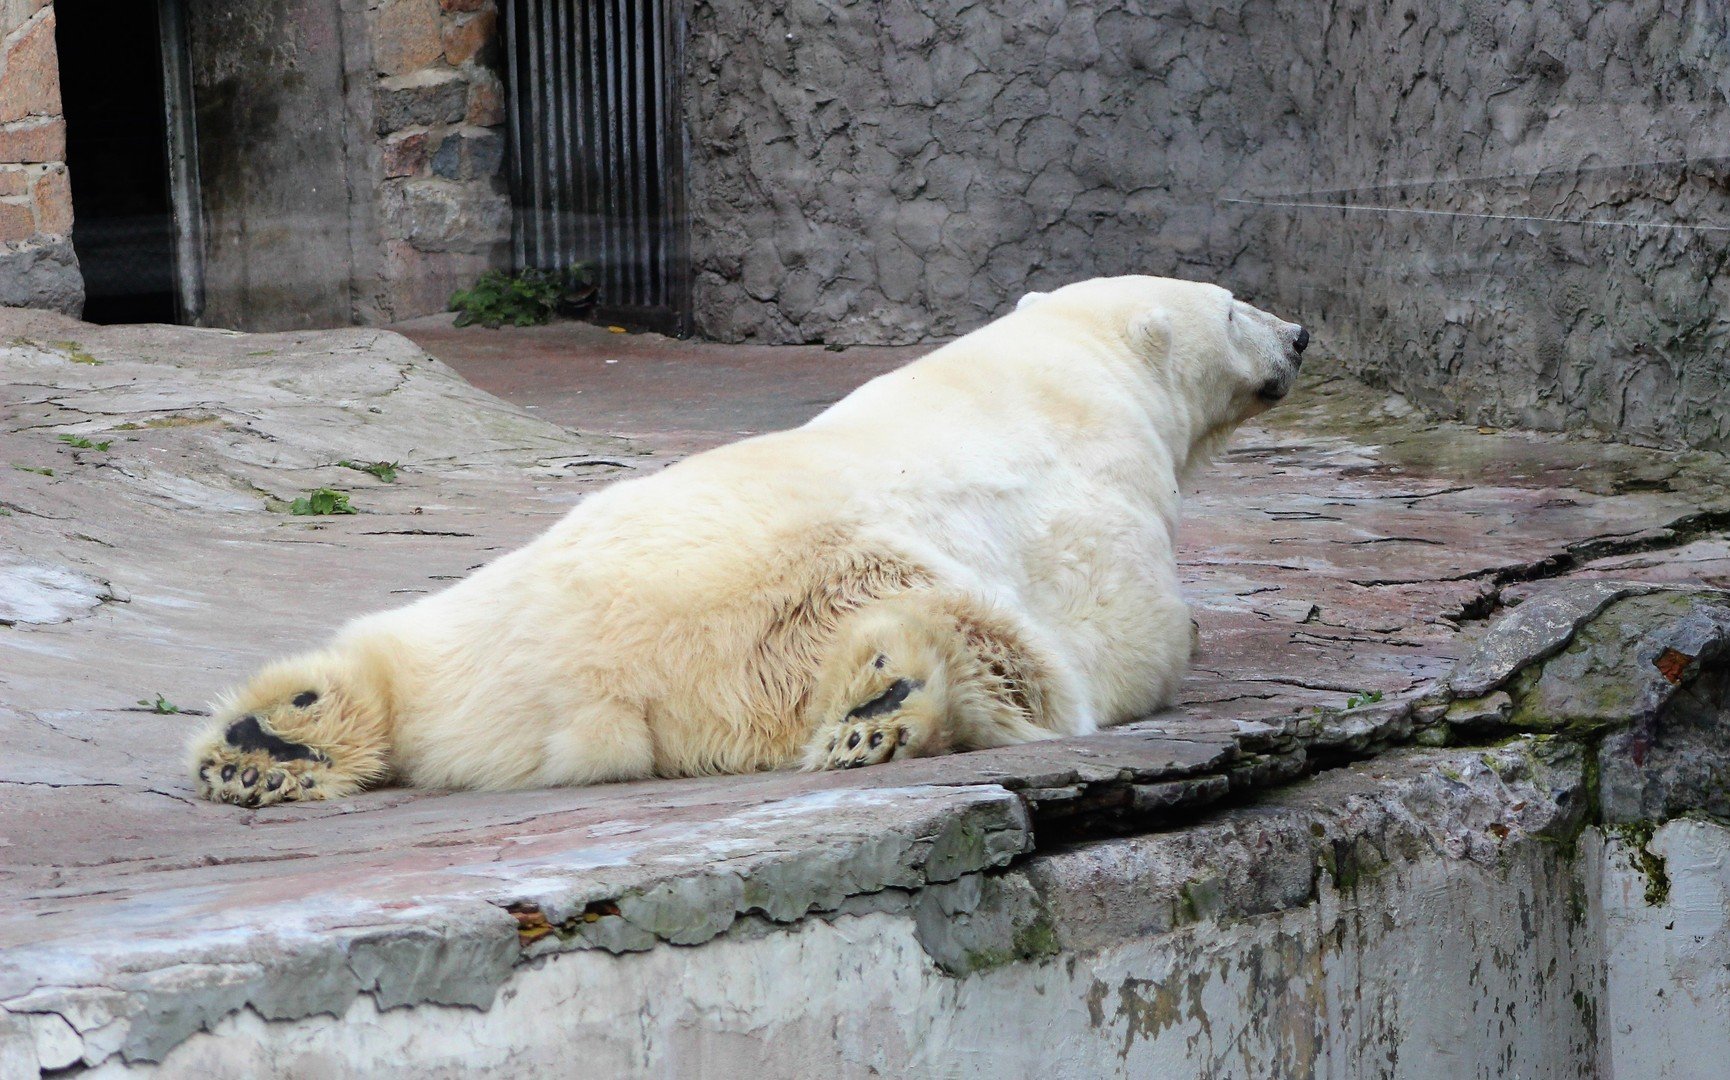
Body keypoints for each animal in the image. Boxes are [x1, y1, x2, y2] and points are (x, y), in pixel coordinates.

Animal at [189, 276, 1300, 803]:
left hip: (490, 613)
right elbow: (1129, 637)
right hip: (836, 579)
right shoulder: (1091, 498)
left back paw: (273, 739)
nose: (1298, 333)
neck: (1064, 361)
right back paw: (888, 699)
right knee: (994, 650)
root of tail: (596, 687)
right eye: (1232, 306)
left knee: (404, 650)